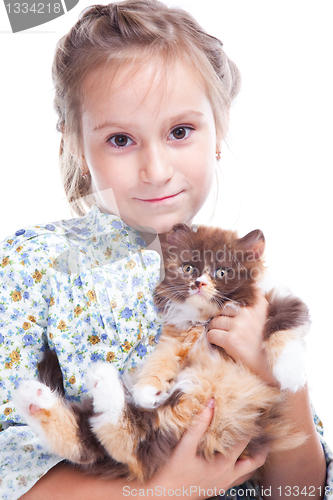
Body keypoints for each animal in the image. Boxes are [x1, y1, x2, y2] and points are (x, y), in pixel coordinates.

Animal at [13, 224, 308, 480]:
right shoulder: (174, 338)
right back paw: (55, 394)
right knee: (118, 442)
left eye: (222, 272)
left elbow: (284, 327)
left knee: (112, 442)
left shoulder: (280, 301)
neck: (204, 319)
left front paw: (290, 373)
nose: (199, 283)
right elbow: (159, 363)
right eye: (189, 268)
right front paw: (146, 390)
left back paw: (57, 394)